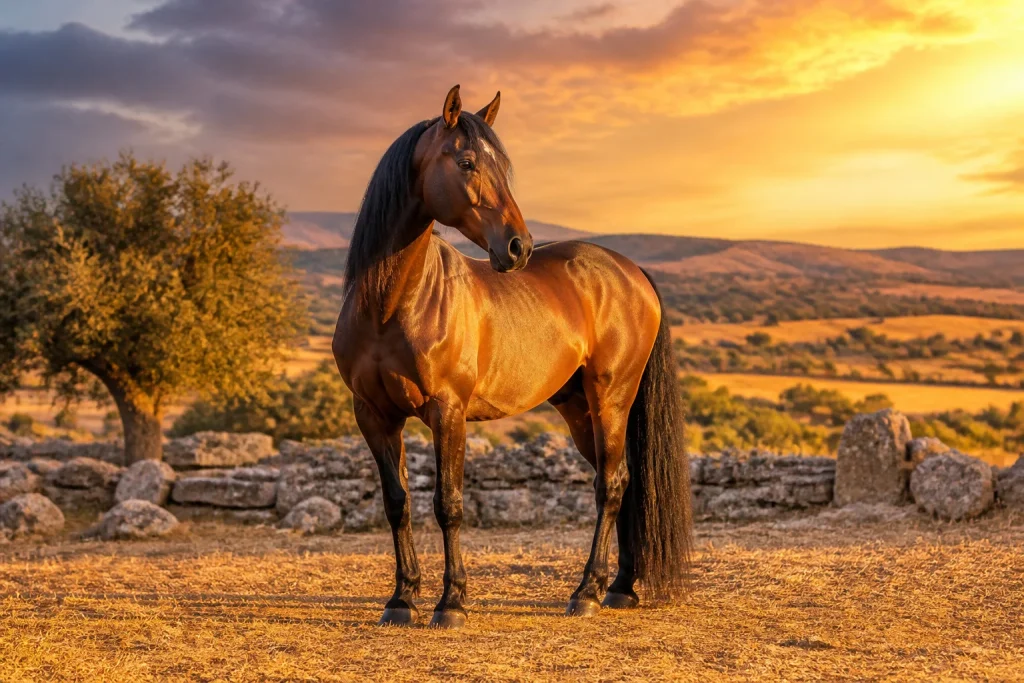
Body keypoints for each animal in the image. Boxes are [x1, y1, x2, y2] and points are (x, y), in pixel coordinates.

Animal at [332, 85, 692, 629]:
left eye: (502, 166)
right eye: (466, 162)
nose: (518, 247)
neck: (391, 304)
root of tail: (631, 272)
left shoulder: (448, 412)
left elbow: (449, 504)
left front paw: (452, 602)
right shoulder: (373, 415)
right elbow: (398, 503)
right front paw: (401, 599)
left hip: (611, 400)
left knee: (610, 485)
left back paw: (587, 592)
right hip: (578, 410)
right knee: (625, 482)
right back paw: (621, 588)